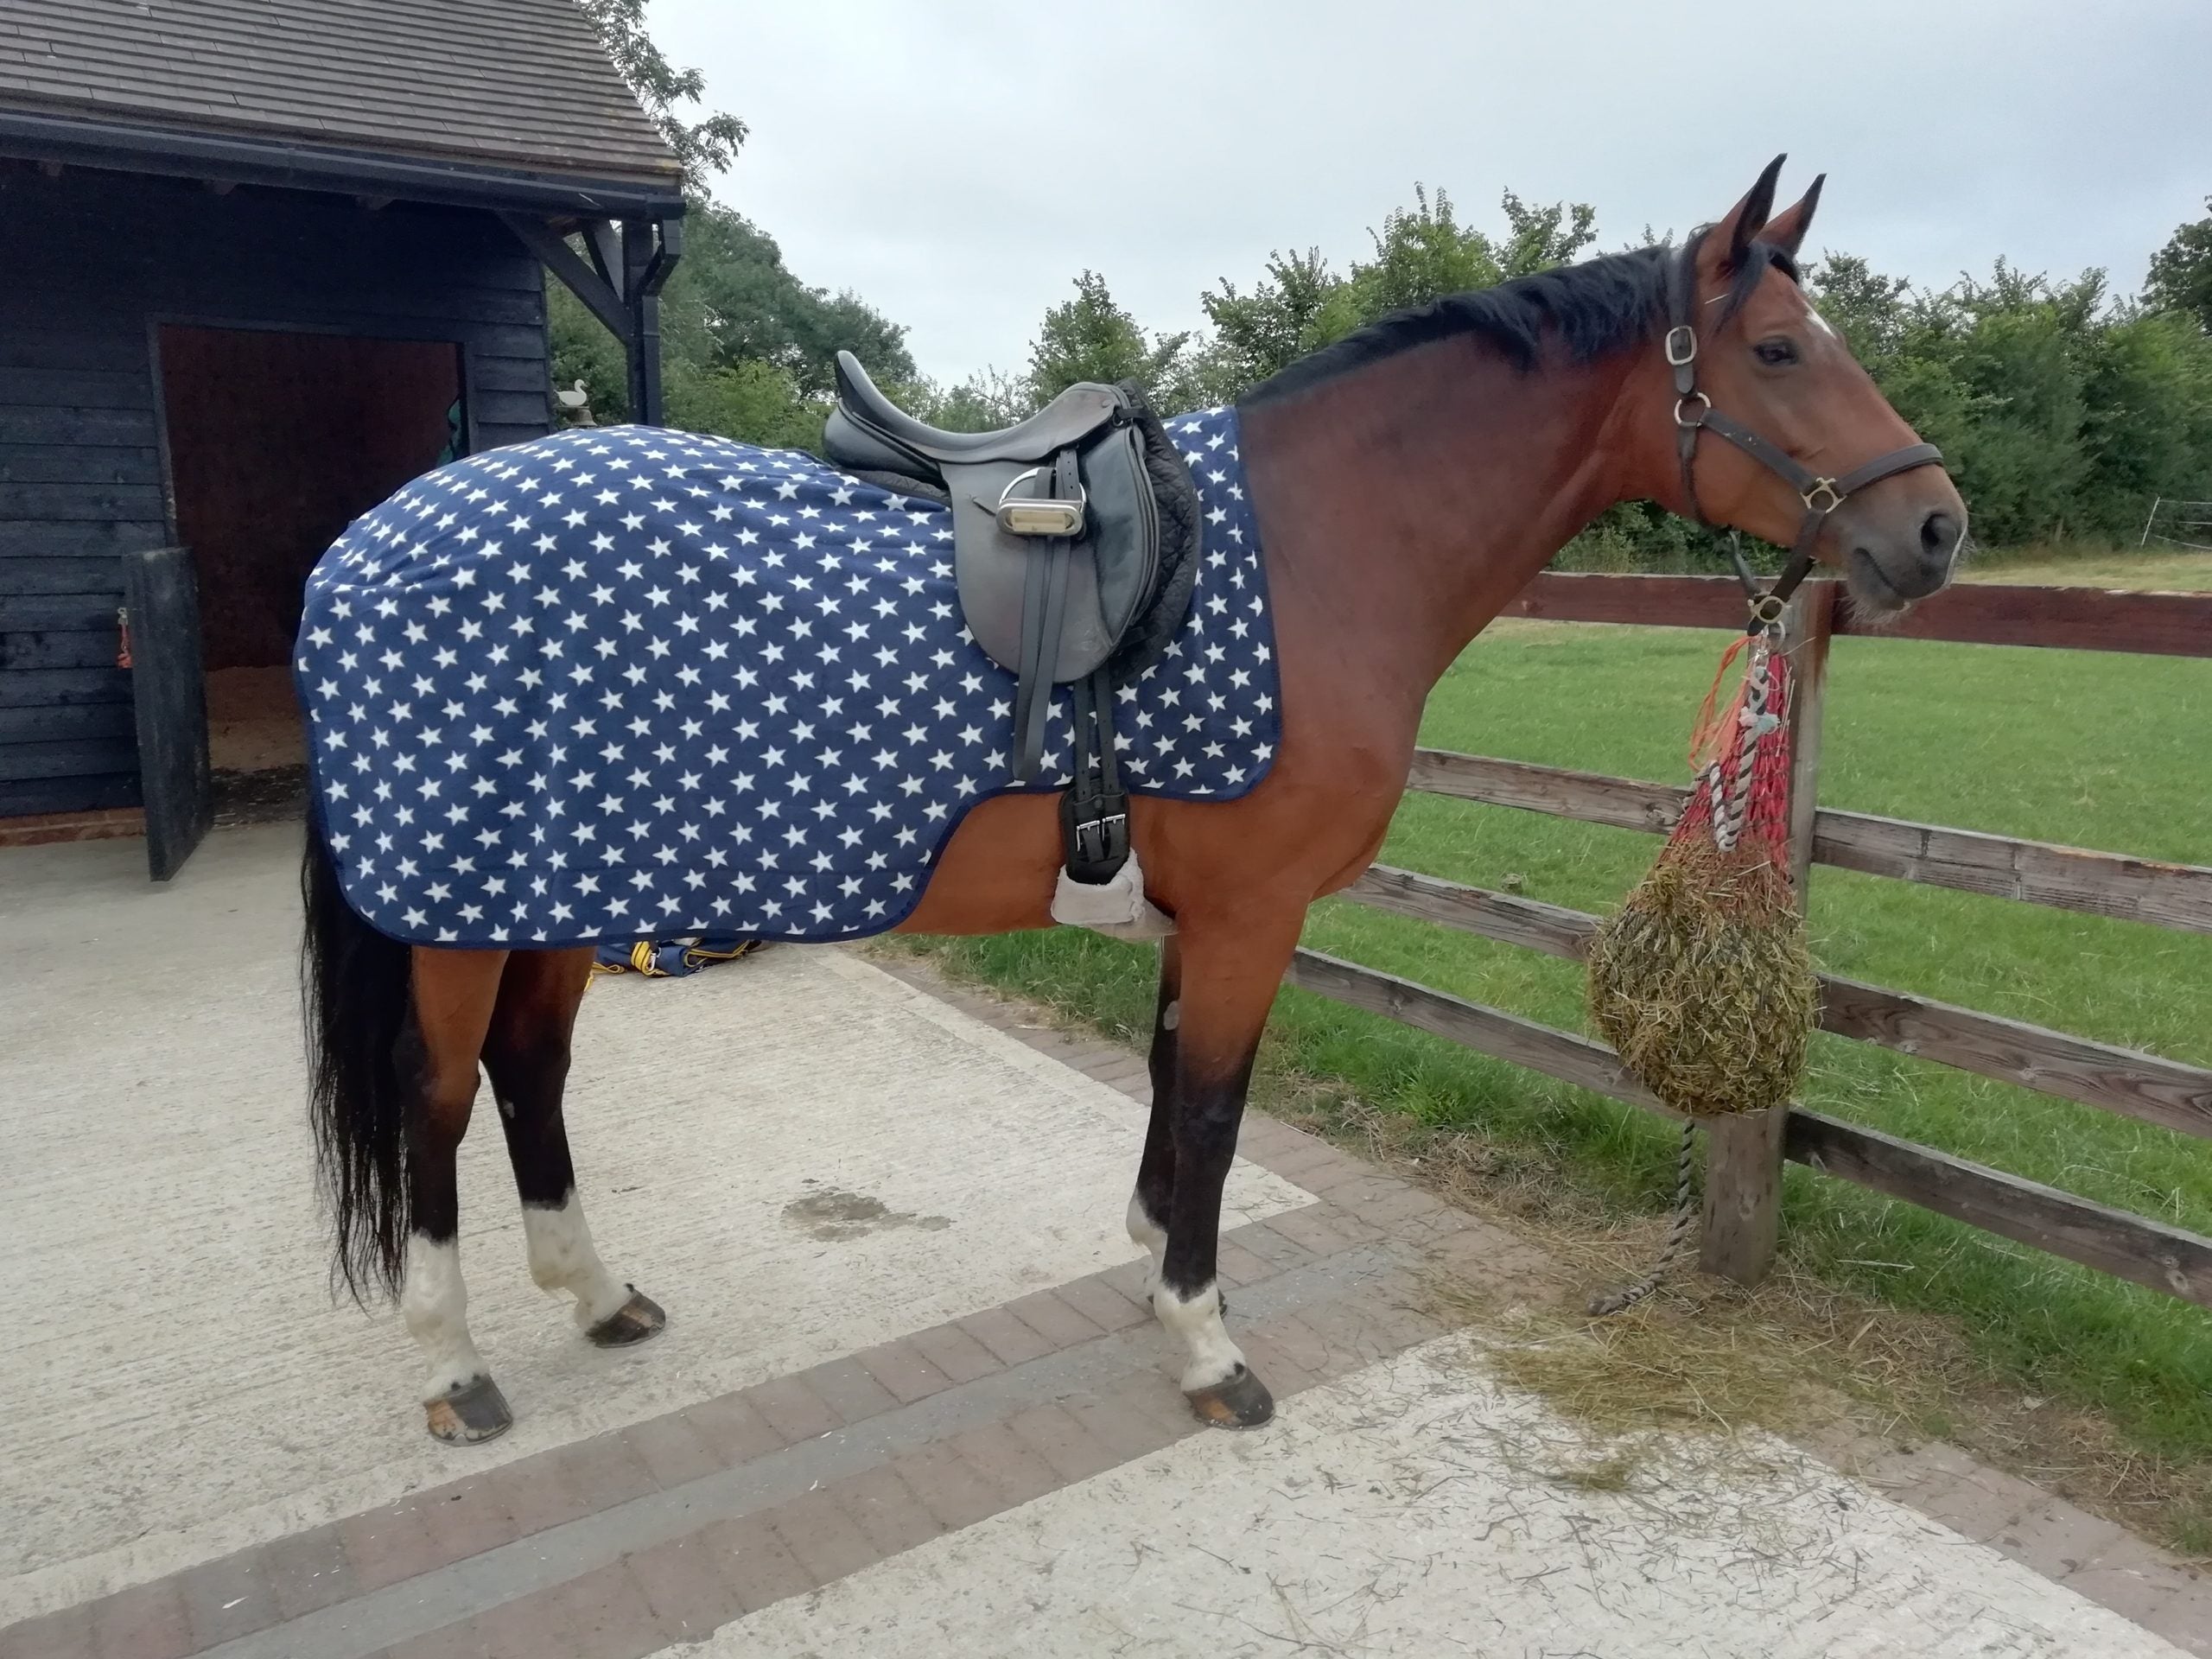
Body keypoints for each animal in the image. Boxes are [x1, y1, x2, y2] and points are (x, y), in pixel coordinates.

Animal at [301, 157, 1968, 1444]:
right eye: (1778, 352)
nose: (1937, 528)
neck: (1317, 546)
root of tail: (365, 545)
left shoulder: (1197, 915)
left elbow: (1176, 1092)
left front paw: (1160, 1268)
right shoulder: (1251, 914)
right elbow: (1220, 1111)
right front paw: (1208, 1342)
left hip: (559, 892)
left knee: (528, 1069)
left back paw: (597, 1297)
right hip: (460, 915)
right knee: (435, 1097)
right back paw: (457, 1368)